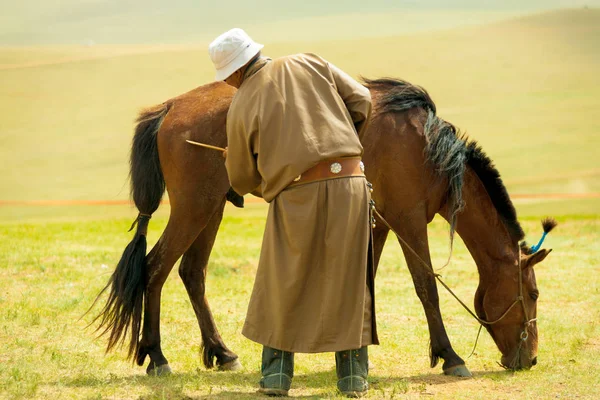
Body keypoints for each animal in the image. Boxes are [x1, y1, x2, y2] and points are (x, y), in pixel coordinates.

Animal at [92, 78, 552, 378]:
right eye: (532, 294)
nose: (529, 359)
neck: (428, 152)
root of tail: (170, 107)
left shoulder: (378, 221)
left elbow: (365, 285)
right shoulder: (406, 220)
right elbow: (426, 286)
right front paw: (450, 356)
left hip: (211, 208)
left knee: (192, 272)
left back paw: (221, 353)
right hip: (194, 207)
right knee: (155, 268)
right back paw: (156, 356)